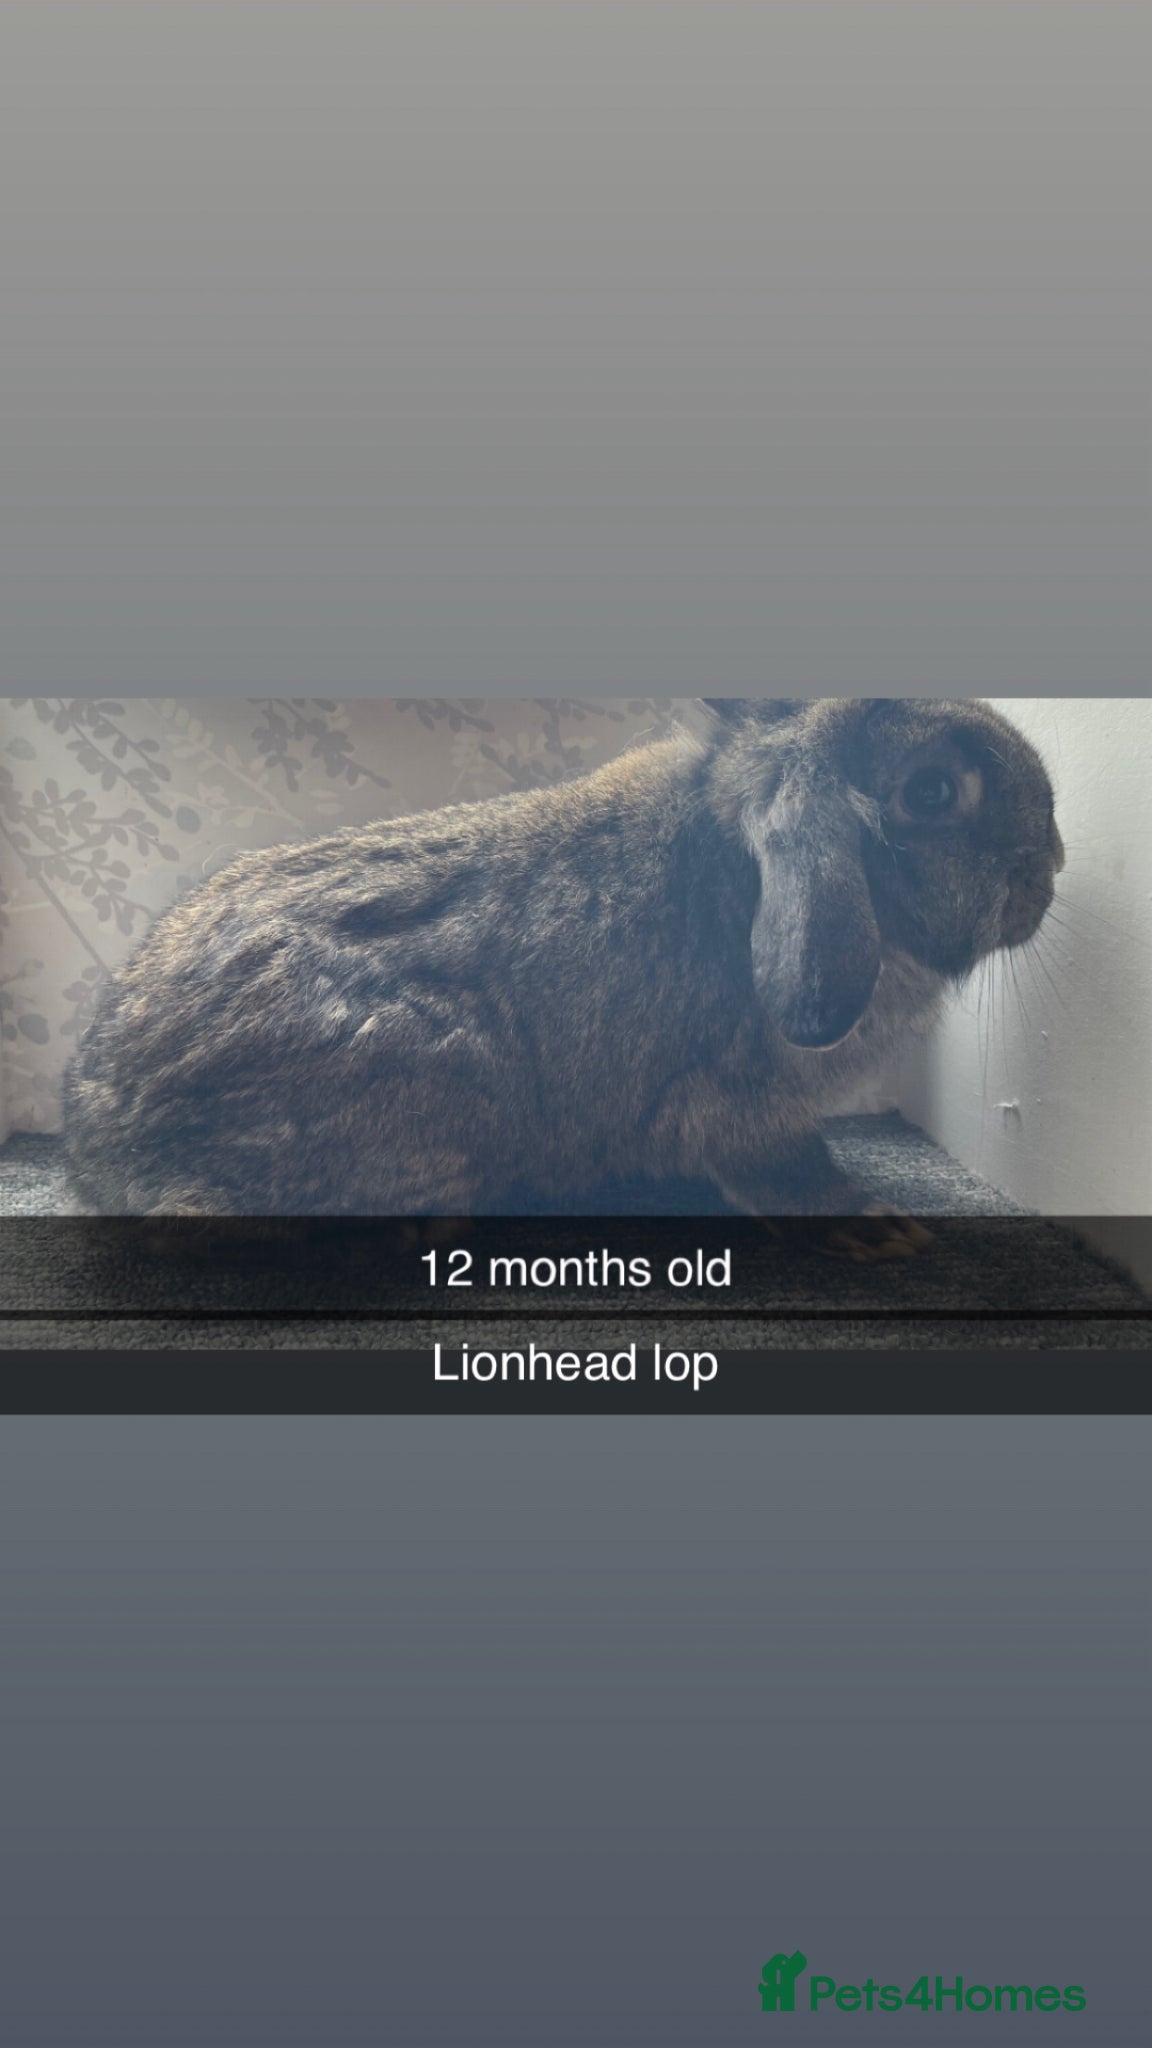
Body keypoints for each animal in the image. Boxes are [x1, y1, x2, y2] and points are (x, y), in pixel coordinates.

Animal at [62, 698, 1063, 1237]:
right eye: (932, 792)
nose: (1052, 863)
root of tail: (105, 1151)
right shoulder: (738, 1099)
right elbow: (780, 1165)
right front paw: (878, 1228)